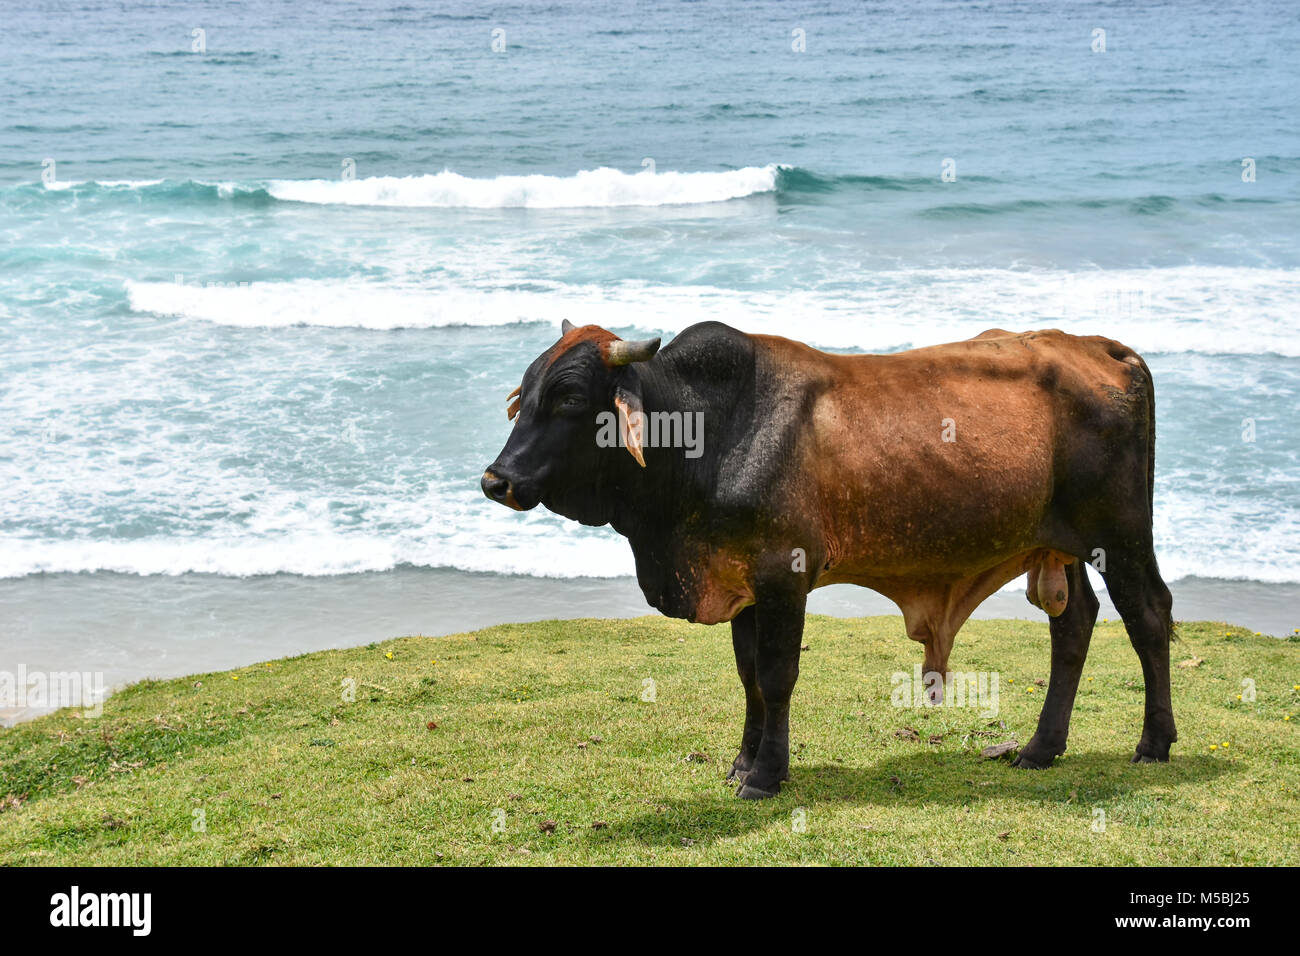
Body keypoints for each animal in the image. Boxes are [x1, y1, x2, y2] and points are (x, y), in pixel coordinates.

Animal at [486, 321, 1180, 801]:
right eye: (527, 392)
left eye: (570, 397)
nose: (497, 479)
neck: (707, 431)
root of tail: (1105, 347)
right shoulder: (742, 582)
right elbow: (748, 677)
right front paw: (743, 761)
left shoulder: (782, 575)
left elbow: (775, 676)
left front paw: (766, 776)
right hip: (1060, 545)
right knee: (1075, 622)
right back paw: (1040, 748)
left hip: (1119, 537)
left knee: (1149, 615)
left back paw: (1153, 743)